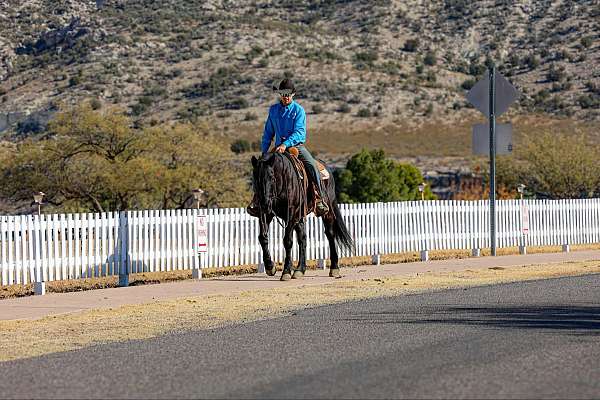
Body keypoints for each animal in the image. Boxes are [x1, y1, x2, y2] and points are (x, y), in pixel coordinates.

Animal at [251, 153, 354, 282]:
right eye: (255, 179)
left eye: (272, 177)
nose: (264, 204)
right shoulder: (266, 213)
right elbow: (262, 237)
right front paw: (270, 266)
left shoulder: (292, 214)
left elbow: (287, 241)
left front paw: (286, 272)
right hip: (299, 218)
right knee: (303, 238)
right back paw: (300, 269)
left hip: (327, 212)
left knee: (330, 235)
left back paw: (334, 268)